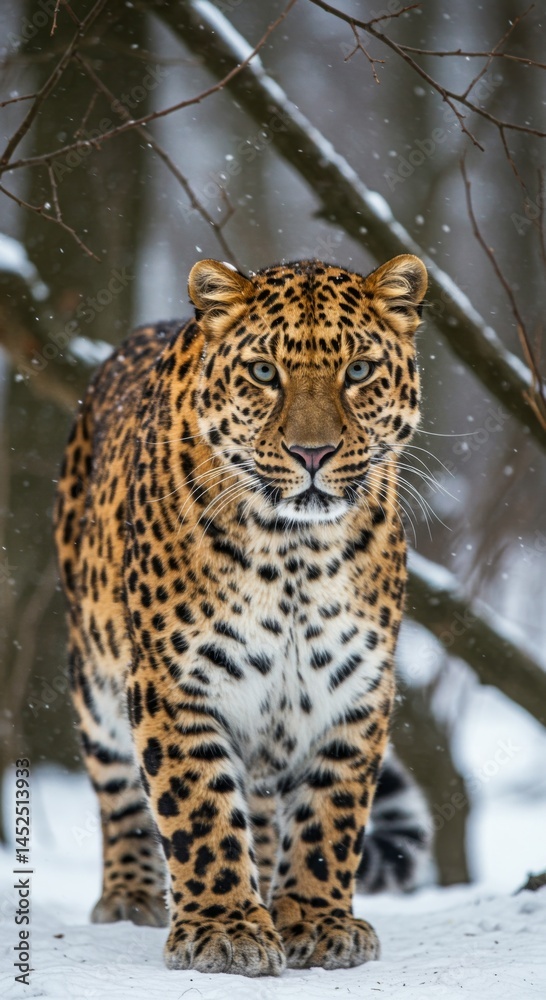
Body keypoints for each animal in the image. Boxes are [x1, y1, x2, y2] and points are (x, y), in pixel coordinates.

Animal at [54, 253, 430, 977]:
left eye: (358, 371)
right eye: (263, 373)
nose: (312, 454)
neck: (296, 554)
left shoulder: (353, 691)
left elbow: (330, 816)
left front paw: (316, 921)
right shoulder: (178, 685)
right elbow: (198, 813)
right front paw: (224, 930)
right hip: (95, 670)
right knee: (118, 788)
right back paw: (132, 895)